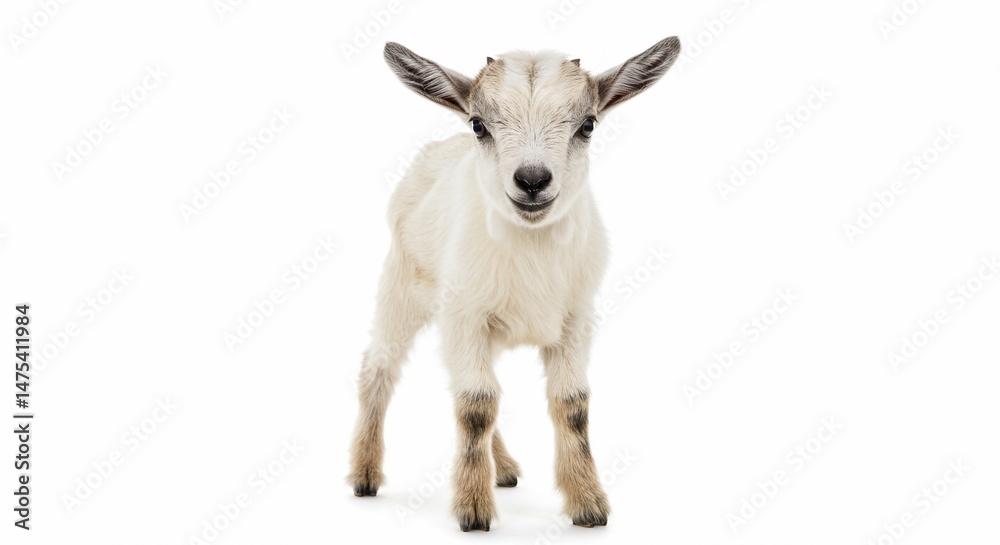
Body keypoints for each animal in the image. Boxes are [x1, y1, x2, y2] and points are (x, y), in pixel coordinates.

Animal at [349, 36, 681, 532]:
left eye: (588, 124)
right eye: (479, 124)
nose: (532, 180)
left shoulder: (575, 321)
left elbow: (571, 405)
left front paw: (587, 504)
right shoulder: (465, 317)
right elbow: (476, 405)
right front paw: (472, 509)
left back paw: (502, 469)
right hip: (402, 288)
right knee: (379, 366)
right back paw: (365, 473)